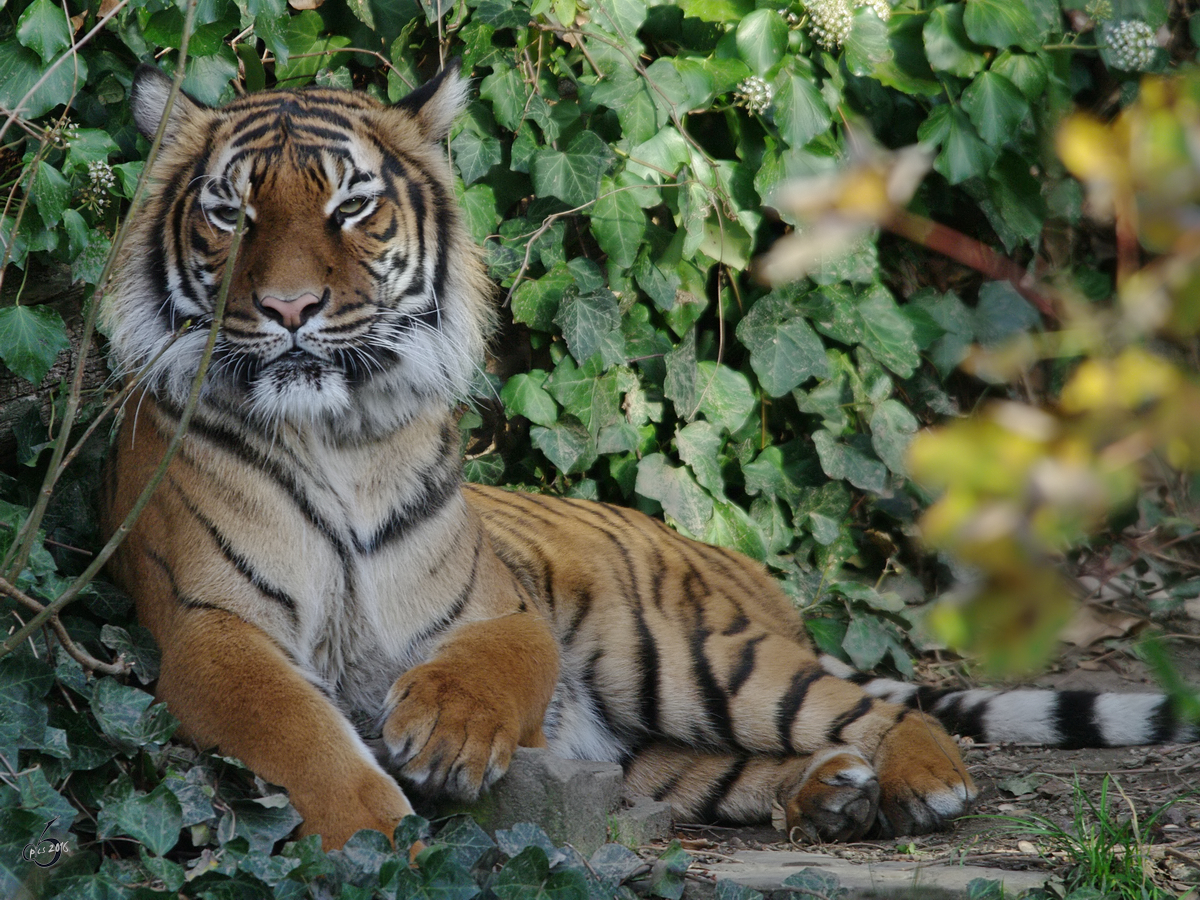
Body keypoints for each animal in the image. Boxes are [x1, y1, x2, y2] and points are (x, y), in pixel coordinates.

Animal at [98, 61, 1195, 854]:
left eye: (351, 209)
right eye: (232, 212)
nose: (287, 308)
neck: (338, 436)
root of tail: (751, 576)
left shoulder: (498, 605)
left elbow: (504, 655)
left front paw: (448, 730)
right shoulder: (208, 629)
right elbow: (291, 721)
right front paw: (370, 828)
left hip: (685, 658)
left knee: (866, 710)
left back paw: (923, 781)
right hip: (657, 750)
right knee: (726, 773)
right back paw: (832, 799)